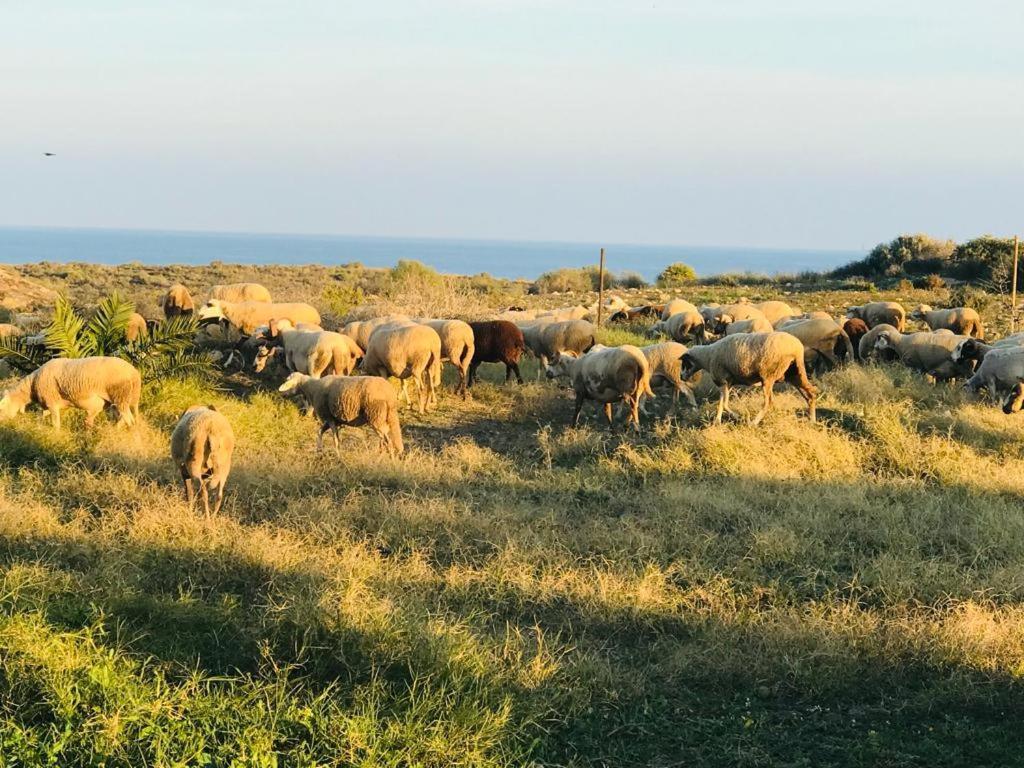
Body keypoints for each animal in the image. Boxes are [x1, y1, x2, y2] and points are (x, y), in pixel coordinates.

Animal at [0, 358, 142, 430]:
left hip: (120, 396)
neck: (31, 386)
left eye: (1, 408)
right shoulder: (48, 405)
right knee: (125, 418)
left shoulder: (52, 403)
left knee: (130, 421)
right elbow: (41, 417)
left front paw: (56, 435)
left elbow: (55, 423)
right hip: (128, 399)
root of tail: (134, 373)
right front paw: (39, 428)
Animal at [679, 331, 815, 428]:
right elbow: (721, 403)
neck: (707, 357)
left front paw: (739, 418)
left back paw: (753, 423)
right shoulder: (726, 383)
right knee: (811, 394)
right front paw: (717, 422)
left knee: (768, 402)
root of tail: (796, 348)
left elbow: (725, 404)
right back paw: (812, 421)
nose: (681, 377)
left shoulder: (723, 380)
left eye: (685, 363)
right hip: (795, 374)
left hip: (768, 376)